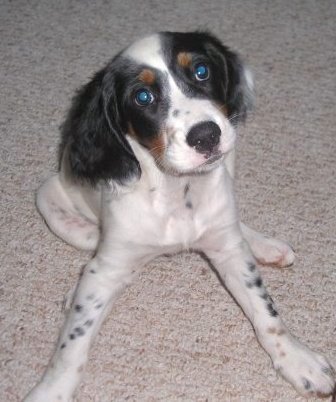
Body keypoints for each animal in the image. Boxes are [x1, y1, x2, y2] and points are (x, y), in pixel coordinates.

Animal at [25, 32, 334, 402]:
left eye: (201, 71)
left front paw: (299, 361)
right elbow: (72, 344)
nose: (206, 136)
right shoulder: (109, 264)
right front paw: (52, 390)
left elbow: (266, 311)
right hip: (52, 200)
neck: (178, 190)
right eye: (142, 96)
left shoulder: (229, 252)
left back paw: (264, 245)